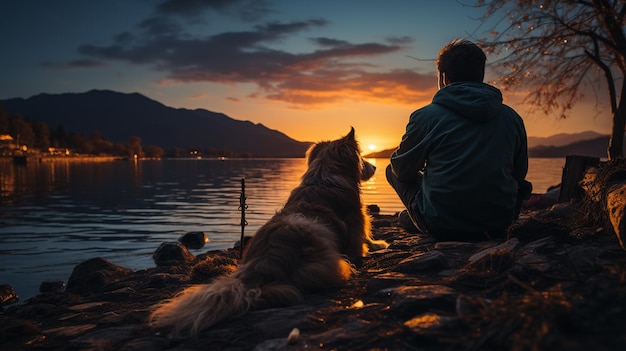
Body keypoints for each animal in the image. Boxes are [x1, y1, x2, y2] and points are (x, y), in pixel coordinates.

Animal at [149, 128, 388, 336]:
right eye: (361, 159)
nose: (375, 168)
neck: (324, 178)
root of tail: (258, 270)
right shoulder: (357, 219)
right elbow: (363, 239)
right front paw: (377, 246)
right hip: (327, 256)